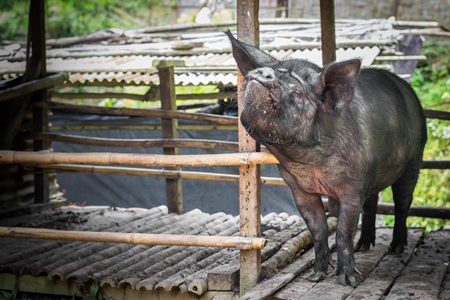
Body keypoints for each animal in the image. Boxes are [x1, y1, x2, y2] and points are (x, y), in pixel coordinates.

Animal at [227, 29, 428, 286]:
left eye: (297, 91)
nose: (262, 72)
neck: (311, 163)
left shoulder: (353, 186)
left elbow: (343, 231)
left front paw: (347, 280)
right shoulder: (299, 189)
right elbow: (318, 230)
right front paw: (316, 276)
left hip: (415, 159)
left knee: (403, 204)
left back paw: (396, 249)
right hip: (374, 174)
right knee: (372, 203)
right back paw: (364, 246)